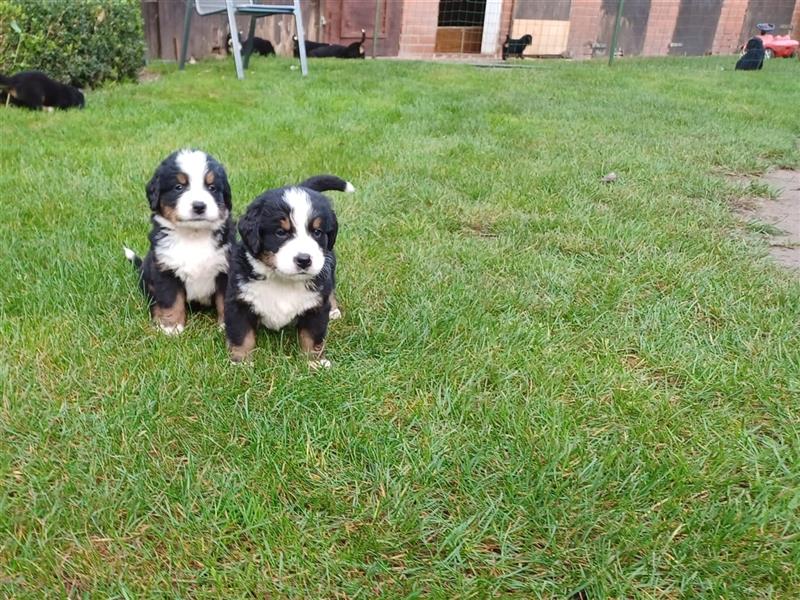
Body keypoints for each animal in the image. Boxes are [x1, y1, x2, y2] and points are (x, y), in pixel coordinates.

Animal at [123, 149, 231, 336]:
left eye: (212, 188)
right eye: (178, 187)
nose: (199, 206)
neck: (193, 236)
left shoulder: (224, 269)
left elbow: (224, 301)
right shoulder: (166, 270)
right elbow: (171, 301)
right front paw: (171, 327)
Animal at [223, 173, 352, 366]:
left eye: (317, 232)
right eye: (280, 233)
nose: (304, 260)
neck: (283, 280)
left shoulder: (315, 307)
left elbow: (312, 337)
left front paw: (315, 363)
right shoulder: (239, 302)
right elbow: (242, 336)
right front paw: (241, 363)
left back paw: (334, 310)